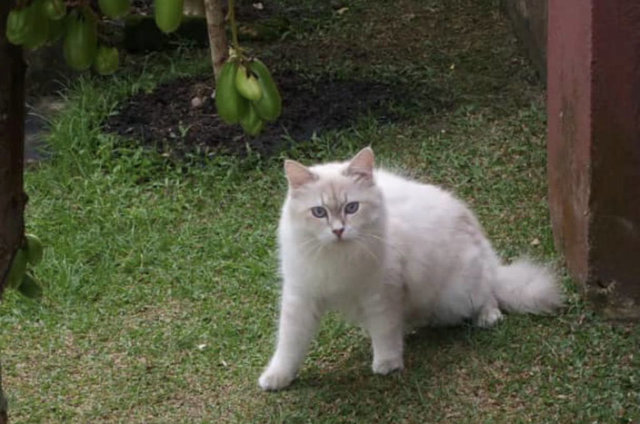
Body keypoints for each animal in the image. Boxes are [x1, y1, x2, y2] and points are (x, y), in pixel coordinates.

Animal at [258, 147, 564, 390]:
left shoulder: (381, 293)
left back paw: (488, 317)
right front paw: (277, 377)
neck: (338, 257)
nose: (338, 231)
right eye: (319, 212)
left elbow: (385, 332)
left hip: (459, 292)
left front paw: (387, 363)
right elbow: (288, 344)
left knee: (487, 294)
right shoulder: (301, 297)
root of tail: (486, 252)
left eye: (352, 208)